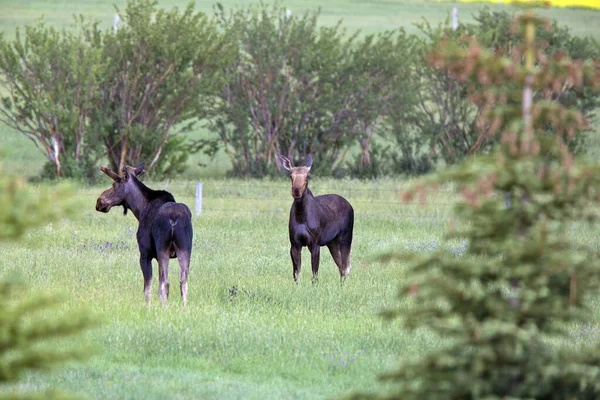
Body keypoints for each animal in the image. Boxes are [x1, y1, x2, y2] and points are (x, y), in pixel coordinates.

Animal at [95, 162, 192, 306]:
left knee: (165, 284)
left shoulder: (145, 254)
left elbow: (147, 289)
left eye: (114, 185)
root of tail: (174, 218)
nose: (99, 201)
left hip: (163, 249)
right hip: (185, 249)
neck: (139, 210)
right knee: (183, 283)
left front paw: (148, 308)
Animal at [278, 153, 354, 282]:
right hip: (332, 242)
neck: (301, 216)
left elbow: (315, 274)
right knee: (341, 266)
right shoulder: (294, 244)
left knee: (346, 265)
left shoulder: (315, 244)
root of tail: (350, 205)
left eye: (307, 176)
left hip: (346, 237)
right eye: (290, 176)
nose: (296, 190)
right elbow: (296, 273)